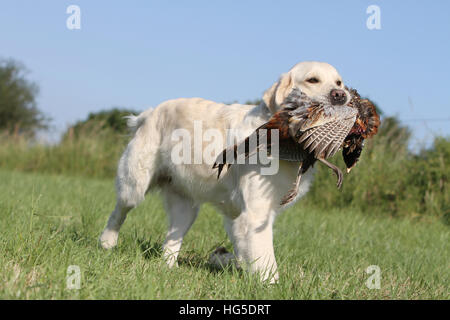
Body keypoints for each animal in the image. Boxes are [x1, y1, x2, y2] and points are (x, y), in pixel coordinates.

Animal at [100, 61, 350, 284]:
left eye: (339, 82)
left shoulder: (243, 217)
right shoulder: (256, 215)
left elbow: (247, 252)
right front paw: (271, 285)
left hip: (186, 209)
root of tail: (150, 112)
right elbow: (266, 258)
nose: (341, 95)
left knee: (171, 242)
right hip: (135, 185)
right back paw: (107, 242)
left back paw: (169, 268)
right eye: (312, 79)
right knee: (118, 212)